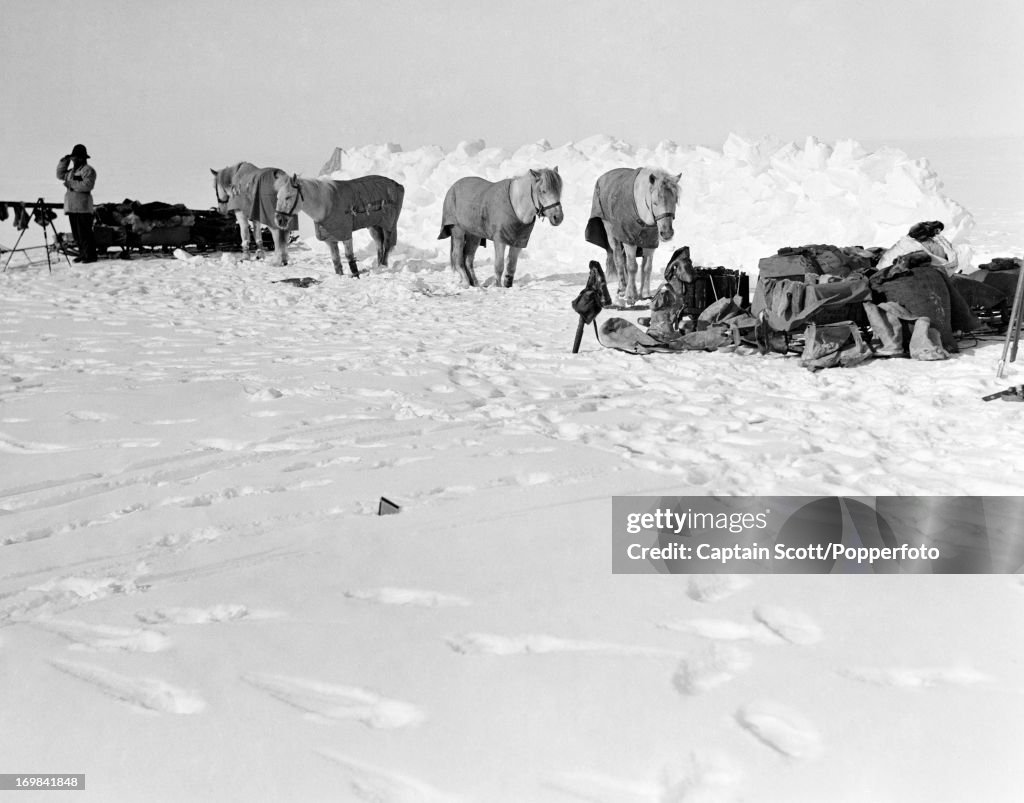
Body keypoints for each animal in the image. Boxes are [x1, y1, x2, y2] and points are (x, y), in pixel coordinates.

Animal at [274, 174, 405, 278]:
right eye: (278, 197)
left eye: (288, 196)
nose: (279, 220)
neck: (326, 206)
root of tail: (397, 185)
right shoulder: (330, 239)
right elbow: (336, 261)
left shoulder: (346, 235)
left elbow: (349, 257)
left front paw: (356, 275)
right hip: (374, 226)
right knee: (379, 246)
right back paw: (379, 267)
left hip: (388, 225)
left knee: (386, 246)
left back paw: (383, 267)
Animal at [436, 166, 565, 288]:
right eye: (543, 191)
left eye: (559, 191)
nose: (558, 217)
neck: (516, 205)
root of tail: (453, 186)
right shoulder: (500, 240)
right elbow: (499, 265)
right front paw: (497, 287)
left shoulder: (519, 242)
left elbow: (511, 266)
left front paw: (508, 286)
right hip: (458, 230)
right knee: (457, 257)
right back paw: (466, 282)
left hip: (474, 235)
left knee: (468, 258)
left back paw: (476, 284)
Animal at [585, 168, 679, 305]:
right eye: (655, 202)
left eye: (675, 201)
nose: (667, 233)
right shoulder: (628, 240)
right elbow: (632, 267)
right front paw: (631, 296)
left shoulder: (650, 242)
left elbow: (646, 267)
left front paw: (644, 294)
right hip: (612, 233)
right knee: (619, 259)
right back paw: (623, 289)